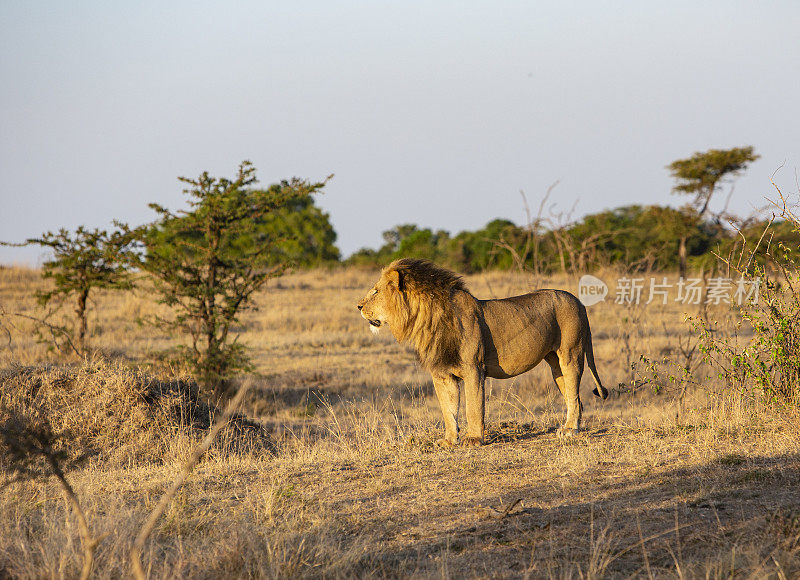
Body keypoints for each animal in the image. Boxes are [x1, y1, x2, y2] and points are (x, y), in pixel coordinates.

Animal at [356, 260, 608, 448]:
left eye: (376, 291)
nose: (358, 306)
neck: (424, 320)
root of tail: (579, 301)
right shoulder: (442, 374)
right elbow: (448, 410)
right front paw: (449, 441)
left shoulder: (473, 368)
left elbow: (473, 406)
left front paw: (474, 439)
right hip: (555, 365)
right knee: (574, 398)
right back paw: (570, 426)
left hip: (571, 354)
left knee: (574, 395)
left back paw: (570, 430)